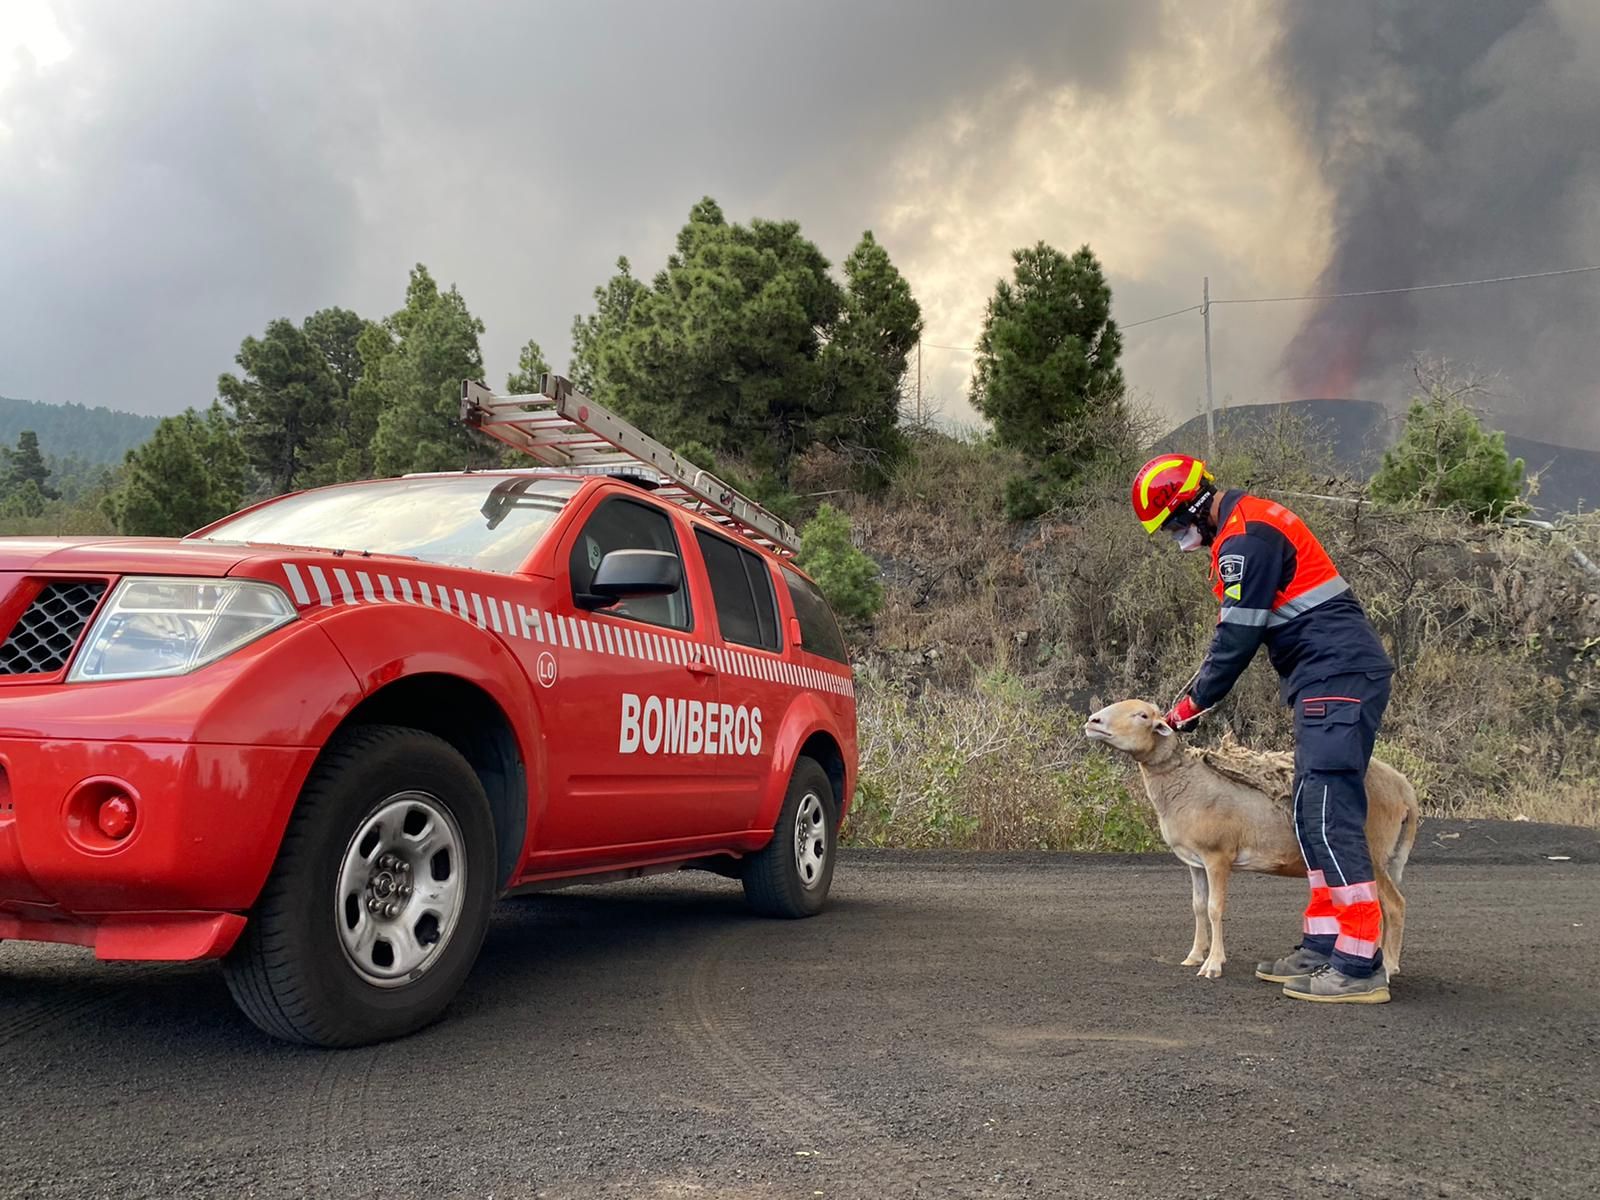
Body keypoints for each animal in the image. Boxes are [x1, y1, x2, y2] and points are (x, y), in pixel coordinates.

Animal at [1081, 700, 1420, 979]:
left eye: (1142, 715)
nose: (1093, 721)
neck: (1185, 782)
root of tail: (1404, 788)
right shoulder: (1195, 861)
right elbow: (1198, 906)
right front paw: (1194, 956)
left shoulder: (1218, 856)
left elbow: (1215, 908)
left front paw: (1213, 965)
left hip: (1371, 851)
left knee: (1394, 905)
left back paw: (1388, 967)